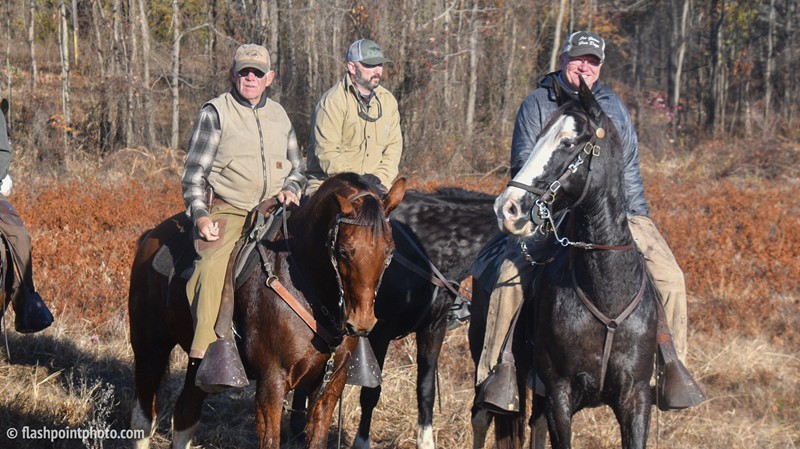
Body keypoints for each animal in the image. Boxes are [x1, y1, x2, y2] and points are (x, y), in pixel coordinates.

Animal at [128, 173, 406, 449]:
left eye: (389, 251)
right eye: (344, 251)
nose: (361, 323)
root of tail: (150, 236)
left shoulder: (330, 385)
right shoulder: (271, 384)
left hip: (200, 365)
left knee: (186, 411)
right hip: (150, 347)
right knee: (143, 418)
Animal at [289, 187, 498, 449]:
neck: (429, 252)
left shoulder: (433, 328)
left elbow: (425, 390)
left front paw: (426, 442)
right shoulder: (379, 332)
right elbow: (371, 393)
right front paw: (361, 442)